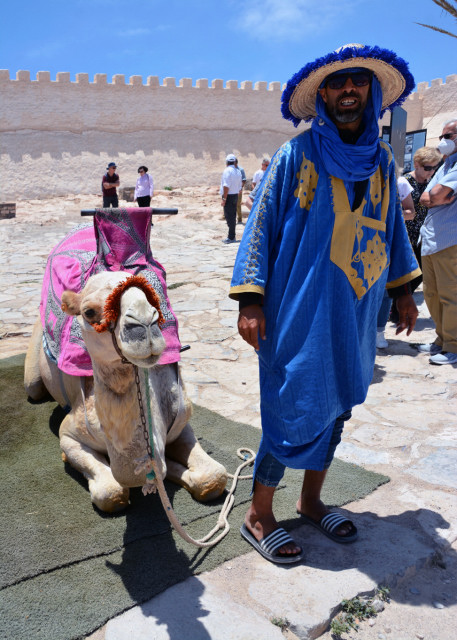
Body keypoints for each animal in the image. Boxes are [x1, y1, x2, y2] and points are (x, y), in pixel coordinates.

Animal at [24, 272, 227, 512]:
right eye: (89, 312)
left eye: (153, 300)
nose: (144, 324)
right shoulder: (69, 433)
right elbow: (111, 493)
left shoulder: (181, 422)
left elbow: (214, 477)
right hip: (33, 378)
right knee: (34, 387)